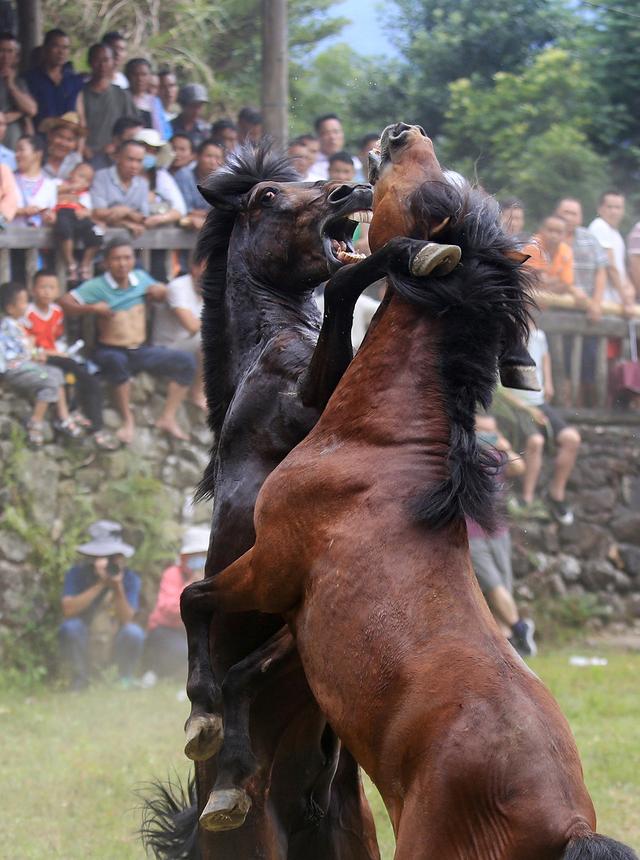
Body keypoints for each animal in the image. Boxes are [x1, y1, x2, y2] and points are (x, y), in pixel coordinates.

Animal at [179, 126, 636, 860]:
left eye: (428, 192)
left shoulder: (274, 568)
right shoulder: (282, 595)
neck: (379, 446)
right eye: (270, 194)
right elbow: (222, 638)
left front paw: (204, 713)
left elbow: (197, 600)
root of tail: (567, 826)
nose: (400, 135)